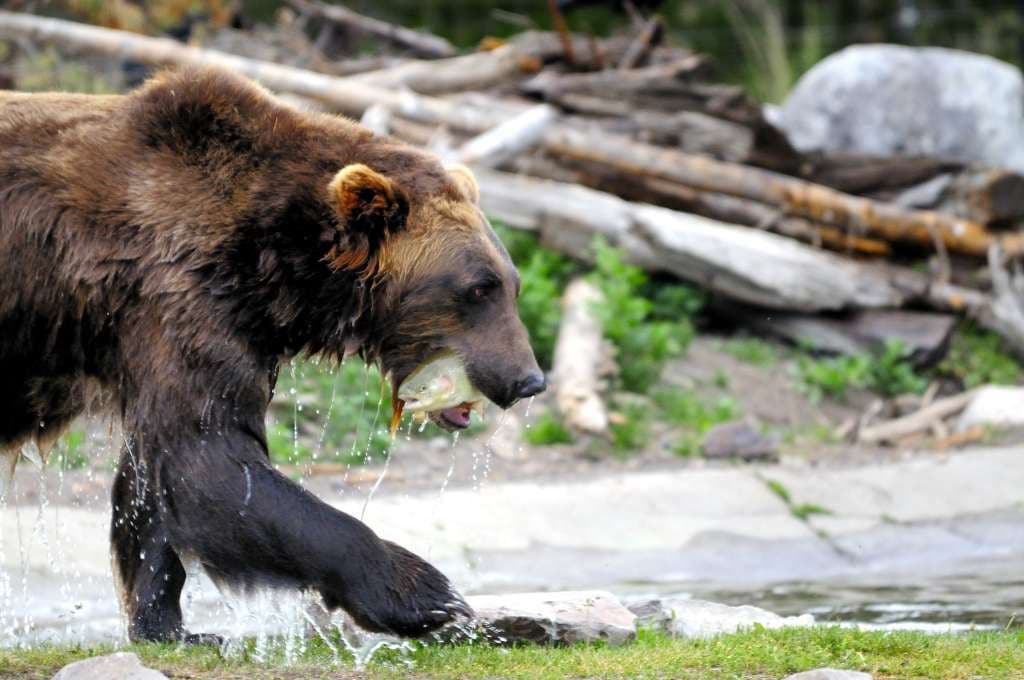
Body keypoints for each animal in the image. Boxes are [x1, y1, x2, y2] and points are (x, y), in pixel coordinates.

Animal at [0, 66, 545, 643]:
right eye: (478, 288)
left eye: (510, 284)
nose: (528, 379)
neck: (272, 268)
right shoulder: (175, 291)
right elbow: (209, 459)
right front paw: (427, 594)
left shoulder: (217, 330)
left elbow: (154, 477)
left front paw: (171, 626)